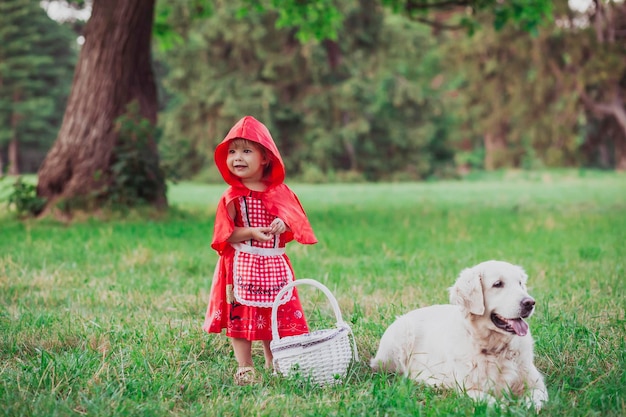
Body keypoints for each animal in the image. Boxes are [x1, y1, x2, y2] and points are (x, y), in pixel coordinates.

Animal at [370, 260, 544, 410]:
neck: (495, 349)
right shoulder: (469, 389)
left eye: (520, 283)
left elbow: (536, 398)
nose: (530, 303)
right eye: (498, 284)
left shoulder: (536, 382)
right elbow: (494, 403)